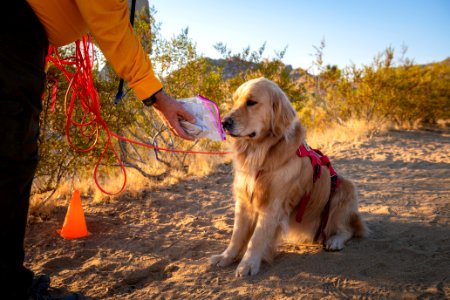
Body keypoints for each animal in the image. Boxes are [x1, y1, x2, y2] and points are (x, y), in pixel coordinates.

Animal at [209, 77, 368, 276]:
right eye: (235, 101)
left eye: (251, 102)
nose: (224, 122)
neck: (261, 153)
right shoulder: (243, 199)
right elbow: (237, 234)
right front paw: (225, 257)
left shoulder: (273, 204)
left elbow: (257, 238)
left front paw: (248, 264)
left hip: (344, 188)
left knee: (348, 229)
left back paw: (335, 241)